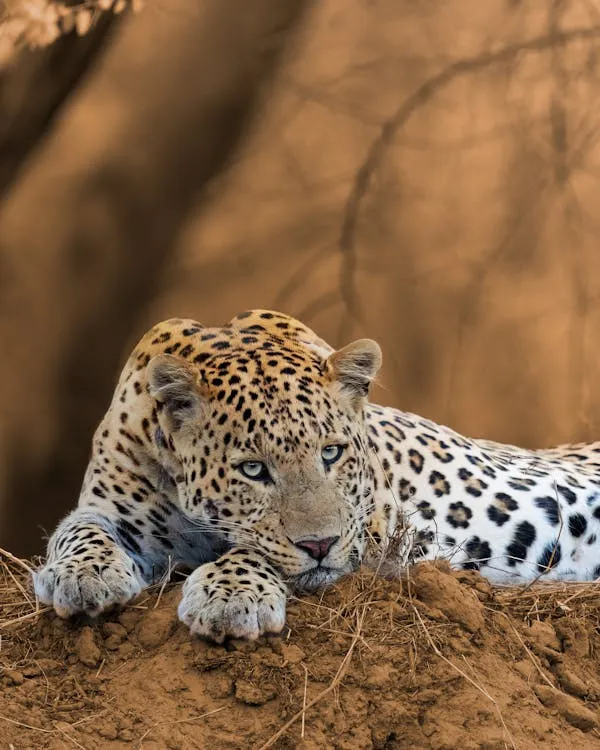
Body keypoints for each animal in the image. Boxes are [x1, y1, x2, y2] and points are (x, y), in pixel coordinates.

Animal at [33, 309, 600, 642]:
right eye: (253, 469)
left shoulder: (371, 532)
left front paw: (230, 596)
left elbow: (259, 549)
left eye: (331, 453)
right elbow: (80, 530)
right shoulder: (109, 505)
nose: (320, 546)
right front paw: (83, 576)